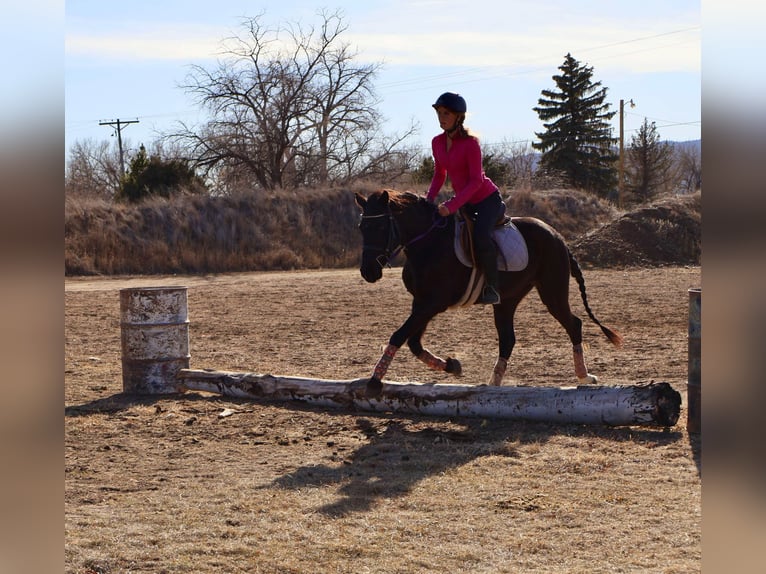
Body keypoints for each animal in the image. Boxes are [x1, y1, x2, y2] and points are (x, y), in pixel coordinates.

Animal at [356, 189, 628, 400]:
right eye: (361, 227)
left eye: (380, 225)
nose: (368, 271)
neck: (428, 243)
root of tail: (557, 236)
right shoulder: (421, 302)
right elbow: (413, 342)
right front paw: (452, 366)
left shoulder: (432, 303)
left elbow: (399, 335)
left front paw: (374, 382)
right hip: (507, 300)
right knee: (508, 339)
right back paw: (494, 383)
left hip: (552, 291)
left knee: (574, 324)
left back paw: (584, 375)